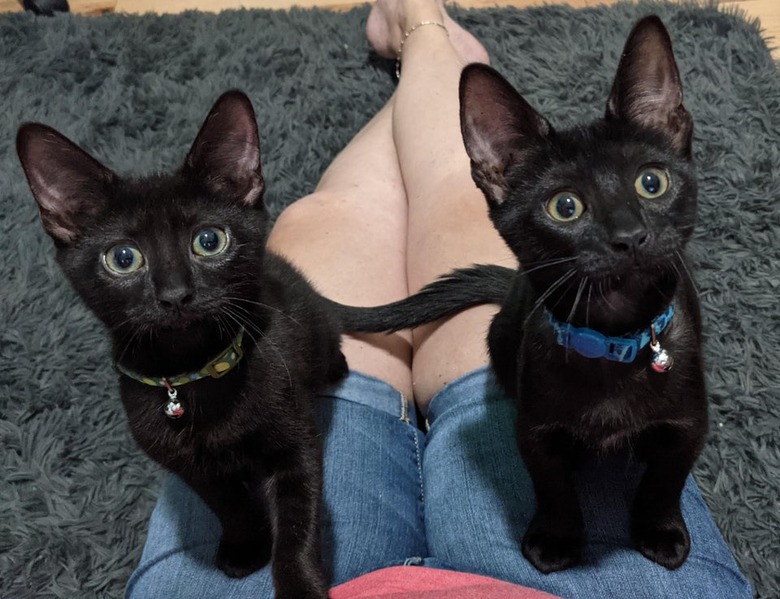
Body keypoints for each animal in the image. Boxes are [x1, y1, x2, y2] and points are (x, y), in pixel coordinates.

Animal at [458, 16, 708, 576]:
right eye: (565, 206)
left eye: (652, 182)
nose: (630, 236)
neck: (614, 339)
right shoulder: (534, 428)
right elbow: (551, 485)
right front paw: (556, 538)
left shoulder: (689, 424)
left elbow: (667, 480)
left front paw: (659, 530)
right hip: (501, 336)